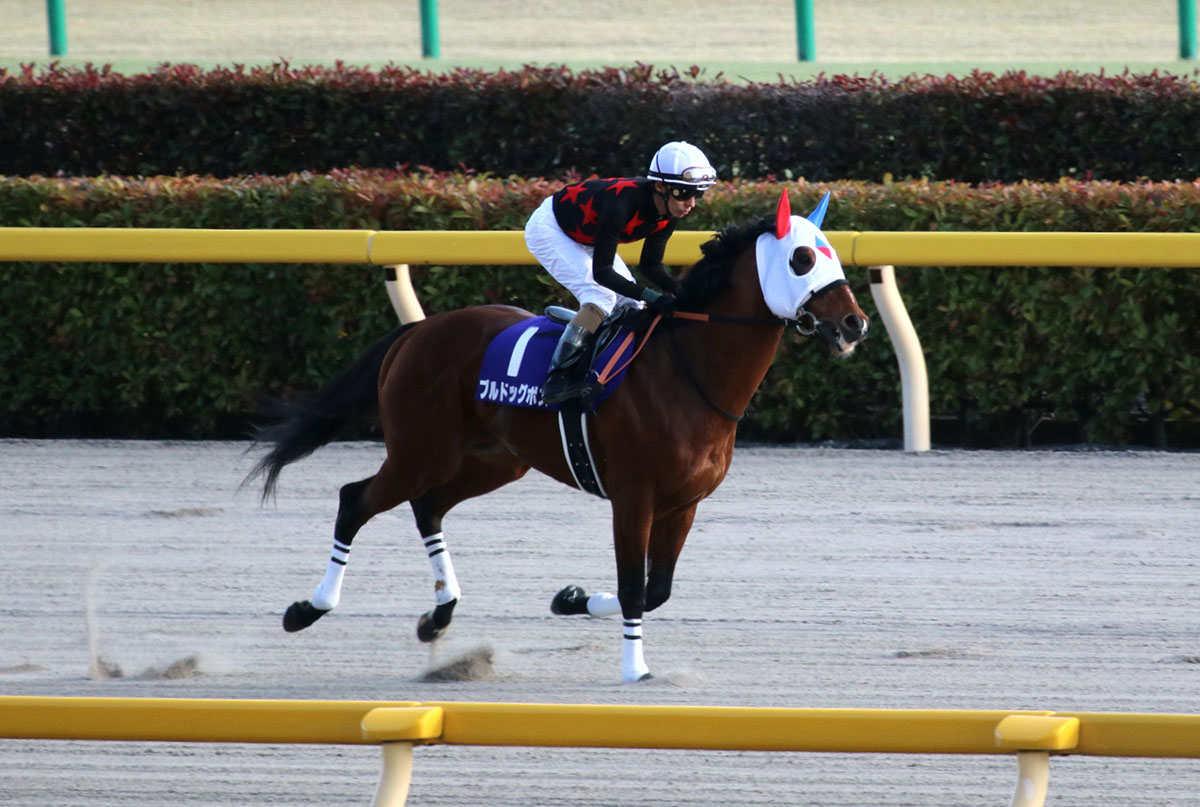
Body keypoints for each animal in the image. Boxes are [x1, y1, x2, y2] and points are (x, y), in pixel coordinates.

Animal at [247, 190, 869, 683]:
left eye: (832, 252)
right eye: (802, 258)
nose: (855, 324)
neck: (687, 372)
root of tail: (419, 329)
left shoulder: (683, 503)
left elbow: (655, 589)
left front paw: (570, 599)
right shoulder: (633, 497)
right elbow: (635, 586)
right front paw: (636, 670)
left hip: (494, 459)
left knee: (428, 506)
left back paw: (438, 616)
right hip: (420, 451)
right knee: (356, 500)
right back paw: (307, 609)